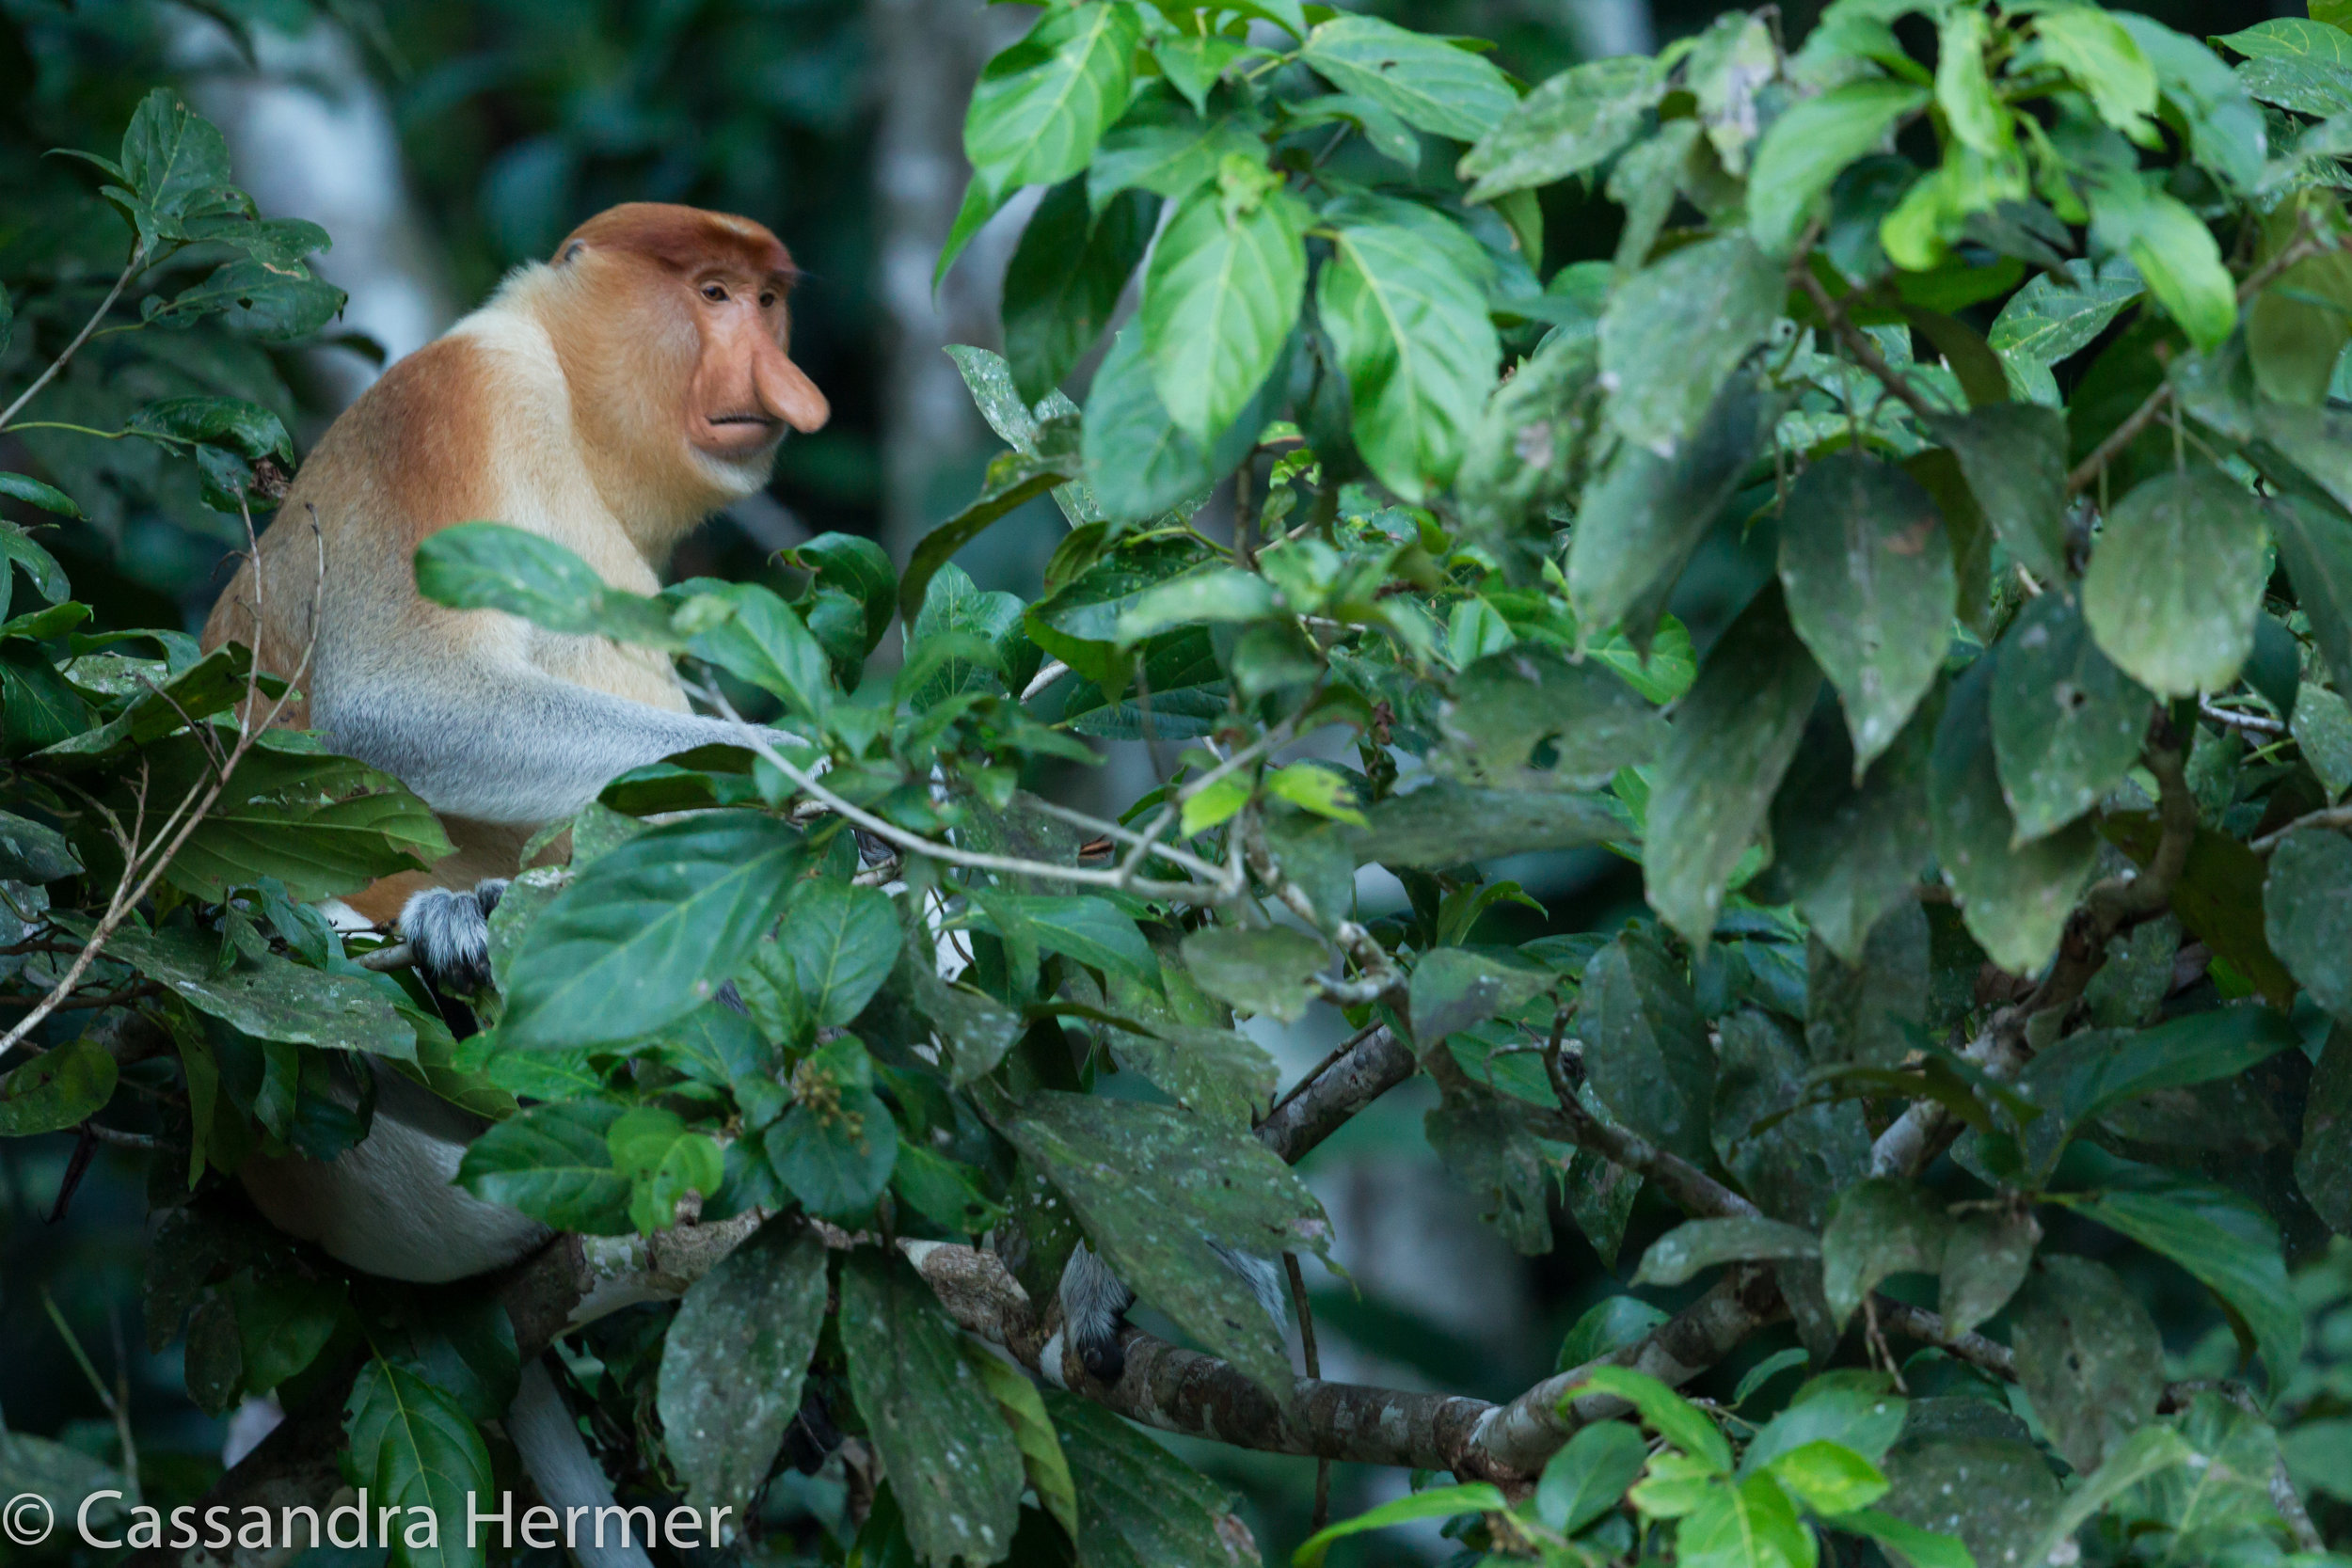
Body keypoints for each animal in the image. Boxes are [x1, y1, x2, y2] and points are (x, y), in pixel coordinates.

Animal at [197, 203, 827, 1568]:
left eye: (769, 300)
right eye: (712, 294)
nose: (788, 389)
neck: (574, 411)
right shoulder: (459, 402)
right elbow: (408, 703)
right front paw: (828, 779)